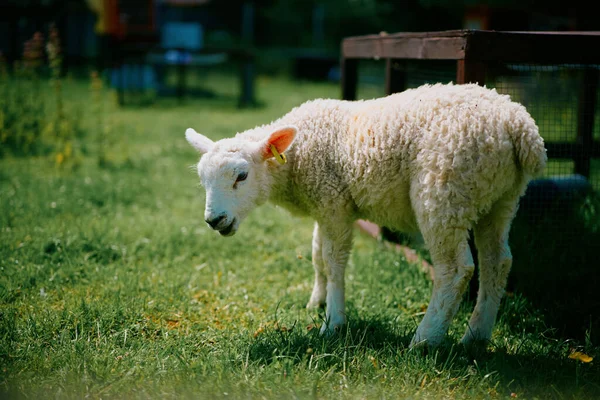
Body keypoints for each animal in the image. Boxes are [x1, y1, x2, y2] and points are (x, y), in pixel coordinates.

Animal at [185, 83, 548, 346]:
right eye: (202, 180)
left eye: (241, 176)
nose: (214, 220)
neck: (297, 158)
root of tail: (520, 127)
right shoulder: (325, 204)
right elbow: (317, 254)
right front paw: (317, 301)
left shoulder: (333, 202)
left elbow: (333, 261)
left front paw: (332, 323)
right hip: (500, 199)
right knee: (497, 262)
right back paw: (475, 337)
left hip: (444, 190)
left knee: (456, 269)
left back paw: (425, 339)